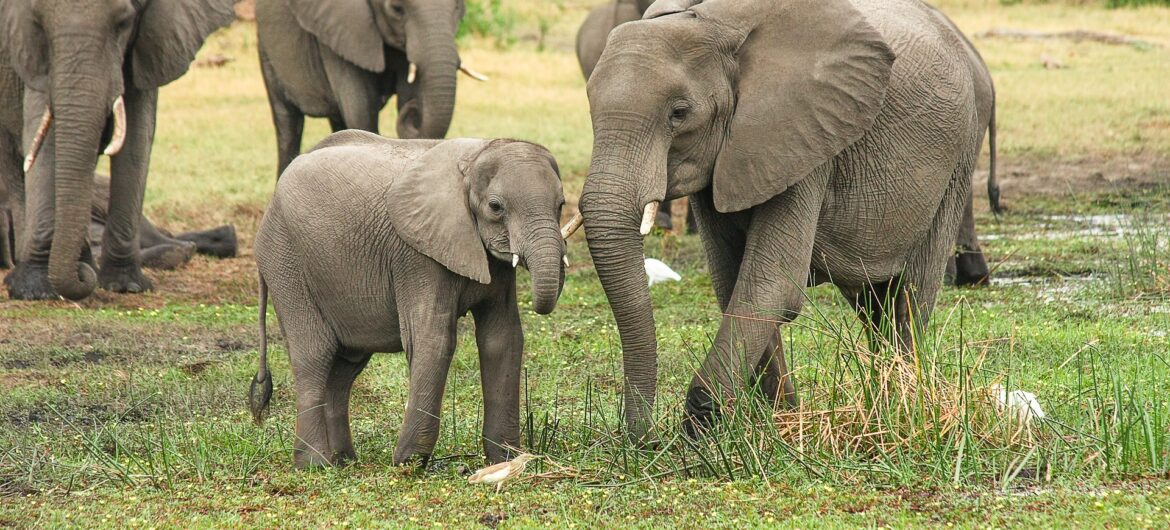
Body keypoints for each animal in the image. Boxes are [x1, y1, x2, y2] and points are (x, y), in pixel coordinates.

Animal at [0, 0, 237, 299]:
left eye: (123, 23)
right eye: (38, 23)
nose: (81, 277)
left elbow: (137, 137)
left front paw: (125, 285)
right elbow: (40, 134)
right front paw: (35, 291)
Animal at [251, 131, 575, 467]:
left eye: (561, 204)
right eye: (496, 207)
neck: (474, 157)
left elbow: (503, 338)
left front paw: (506, 460)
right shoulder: (416, 255)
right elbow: (433, 339)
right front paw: (408, 463)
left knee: (344, 367)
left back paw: (344, 461)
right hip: (285, 260)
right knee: (315, 354)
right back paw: (314, 464)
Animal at [260, 0, 484, 177]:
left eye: (458, 7)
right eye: (397, 8)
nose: (414, 111)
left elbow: (406, 94)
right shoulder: (344, 33)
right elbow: (360, 111)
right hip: (267, 54)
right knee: (288, 124)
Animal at [575, 0, 987, 437]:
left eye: (679, 113)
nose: (647, 441)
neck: (714, 26)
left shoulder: (803, 137)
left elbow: (771, 284)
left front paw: (701, 432)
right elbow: (733, 281)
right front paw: (777, 421)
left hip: (958, 157)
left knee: (910, 293)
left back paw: (900, 406)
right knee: (873, 301)